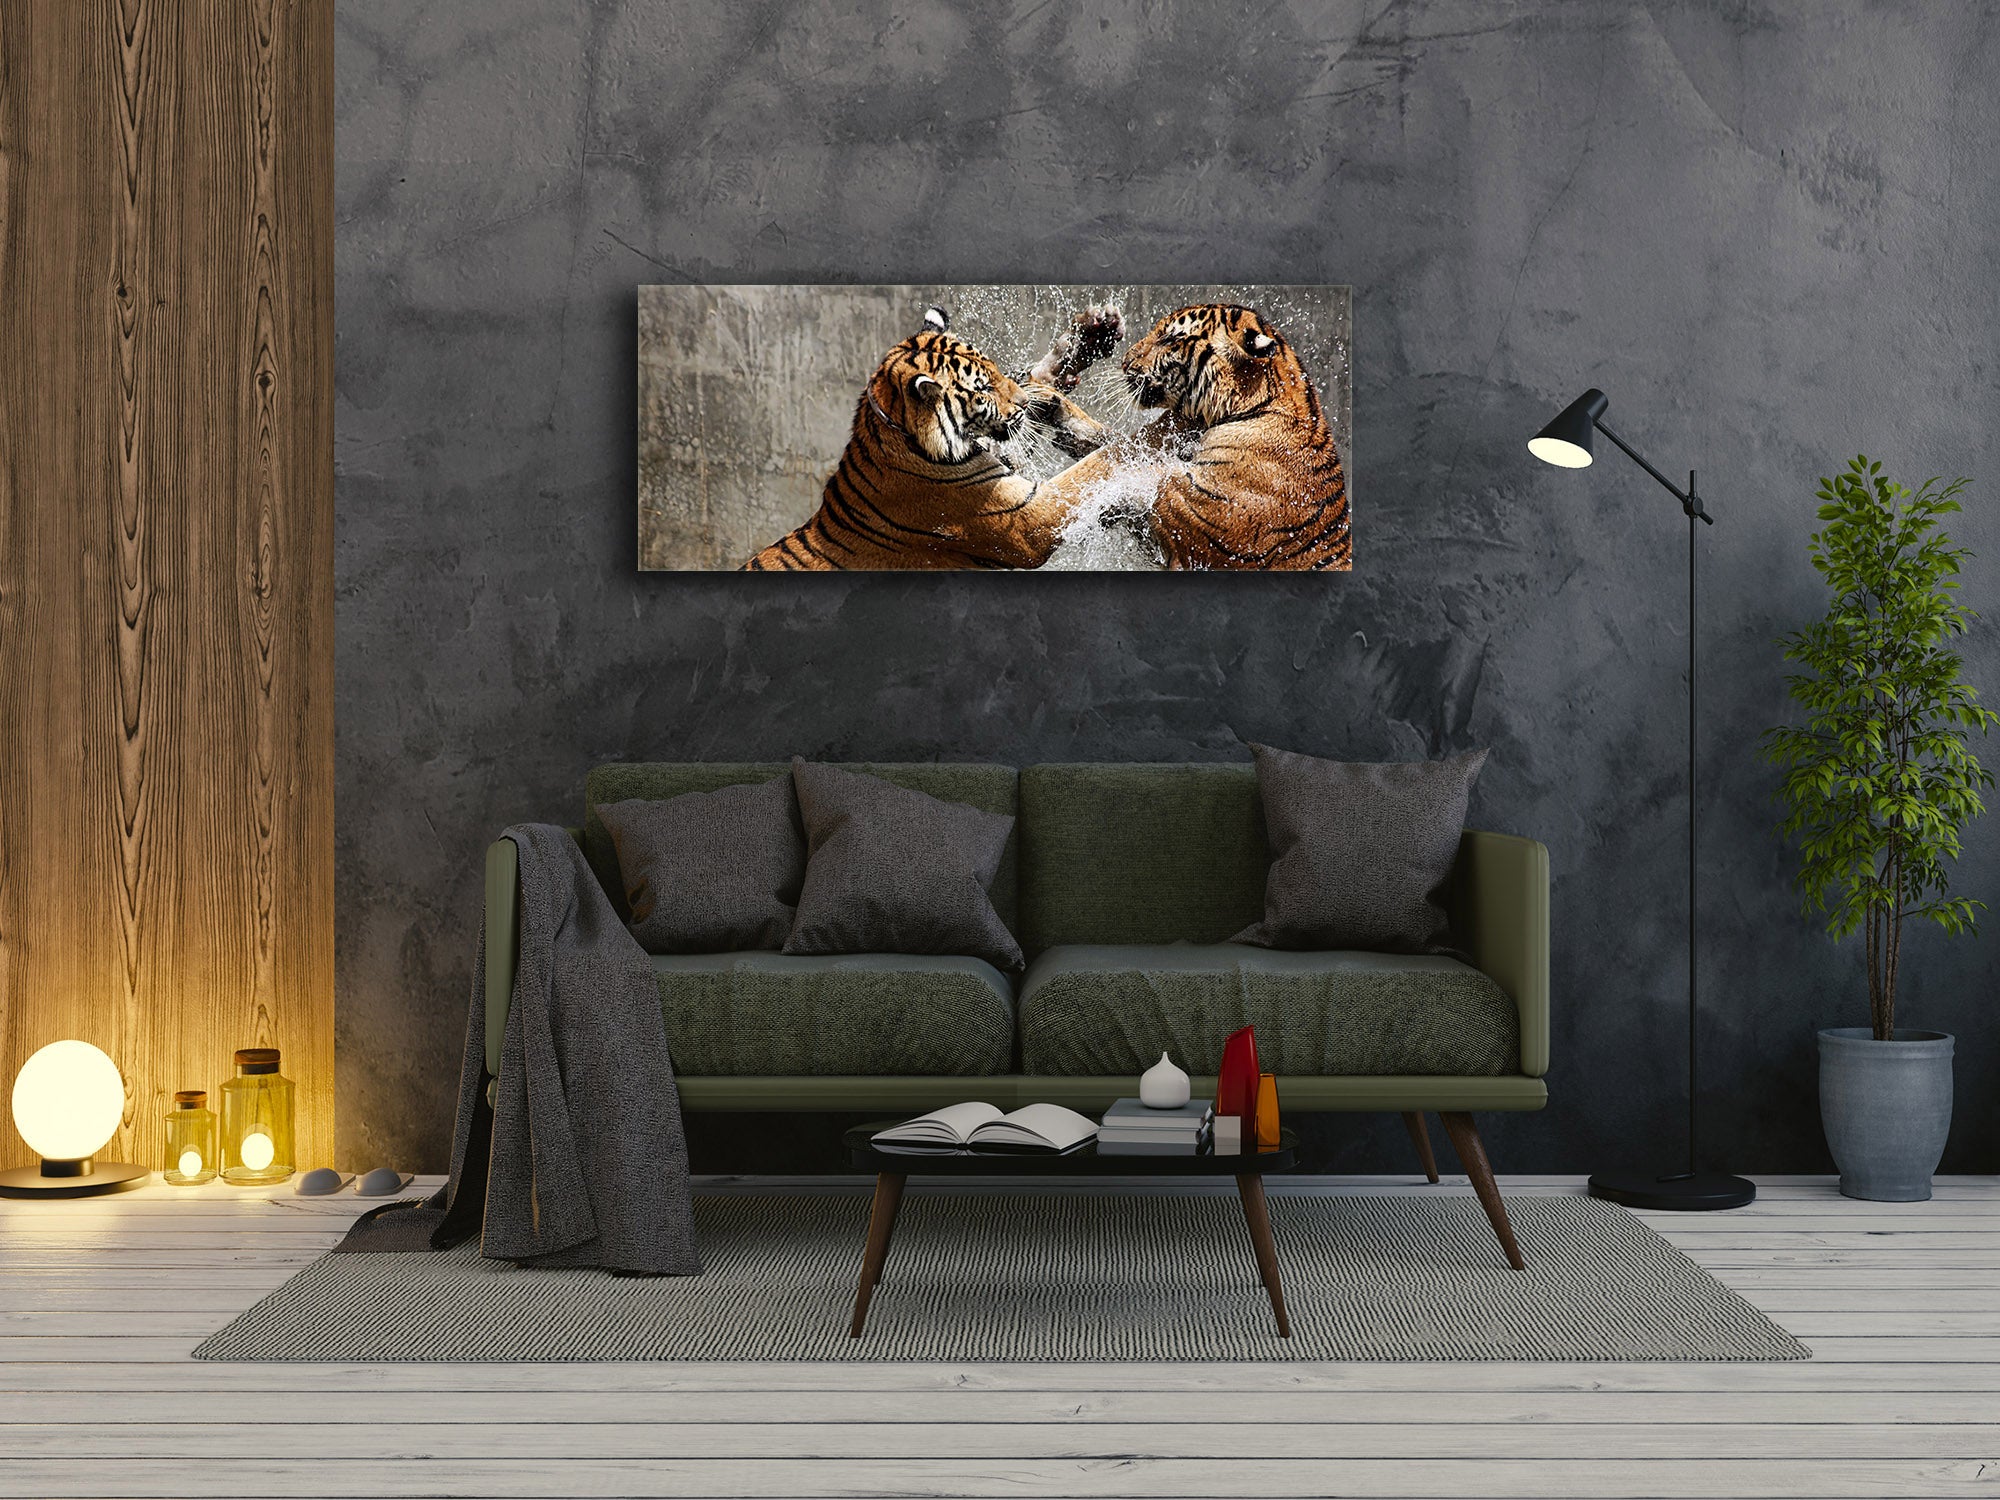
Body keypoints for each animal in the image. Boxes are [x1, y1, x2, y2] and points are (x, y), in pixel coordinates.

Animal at [740, 307, 1121, 571]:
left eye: (996, 369)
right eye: (983, 388)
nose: (1024, 404)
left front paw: (1089, 337)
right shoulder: (1029, 518)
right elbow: (1095, 466)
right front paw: (1134, 442)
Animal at [1036, 303, 1351, 571]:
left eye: (1169, 339)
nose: (1124, 362)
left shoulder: (1201, 514)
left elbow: (1145, 475)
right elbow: (1125, 446)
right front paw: (1056, 408)